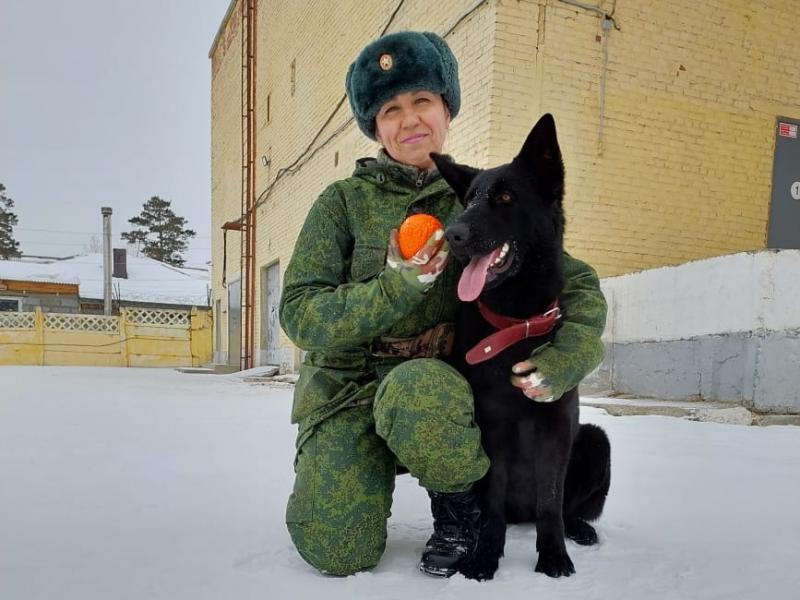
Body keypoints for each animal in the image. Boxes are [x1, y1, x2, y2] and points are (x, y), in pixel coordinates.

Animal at [432, 115, 612, 580]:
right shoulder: (491, 430)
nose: (453, 235)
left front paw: (553, 556)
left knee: (565, 510)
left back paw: (579, 530)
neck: (515, 326)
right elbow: (492, 504)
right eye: (469, 200)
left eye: (506, 197)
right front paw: (485, 556)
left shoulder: (555, 429)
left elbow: (550, 503)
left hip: (595, 440)